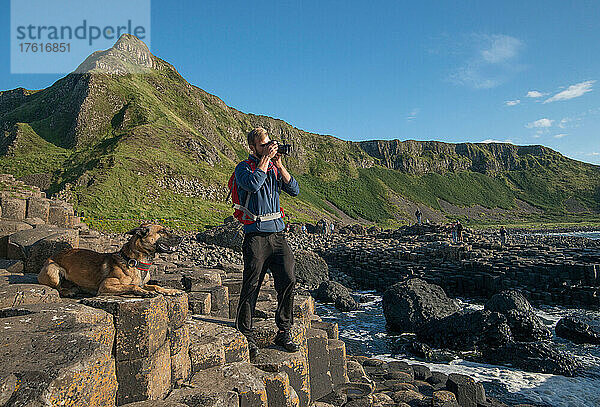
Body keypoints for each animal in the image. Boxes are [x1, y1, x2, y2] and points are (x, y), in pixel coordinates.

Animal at [37, 225, 183, 298]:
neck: (134, 261)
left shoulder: (144, 283)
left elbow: (155, 286)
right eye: (162, 231)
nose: (181, 238)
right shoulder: (106, 285)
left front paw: (170, 290)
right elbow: (132, 286)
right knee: (57, 287)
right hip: (53, 271)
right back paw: (68, 292)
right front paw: (145, 292)